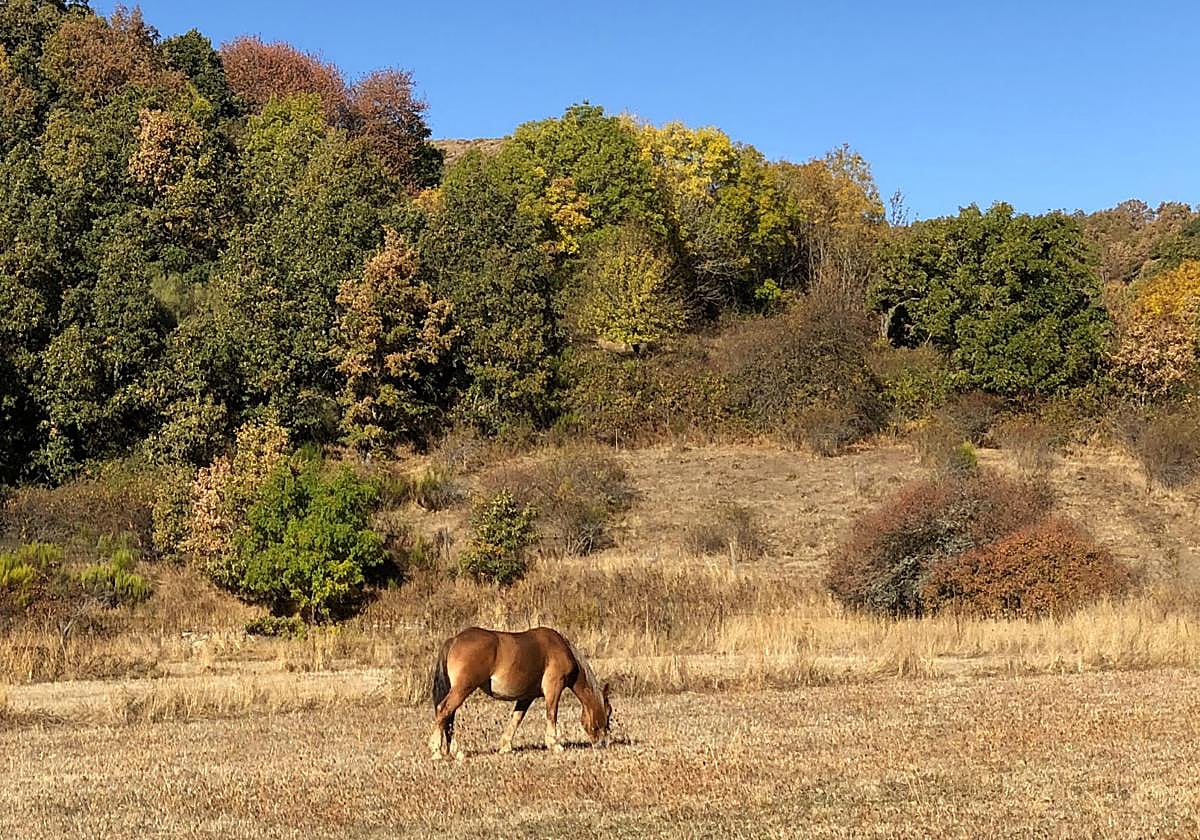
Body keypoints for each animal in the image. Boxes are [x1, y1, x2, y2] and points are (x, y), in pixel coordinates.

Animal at [428, 626, 612, 759]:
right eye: (608, 712)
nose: (603, 742)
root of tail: (454, 640)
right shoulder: (554, 687)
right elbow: (551, 714)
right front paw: (555, 744)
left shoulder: (526, 697)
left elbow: (516, 719)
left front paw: (506, 745)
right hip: (462, 688)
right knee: (444, 710)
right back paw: (437, 751)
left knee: (449, 716)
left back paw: (452, 751)